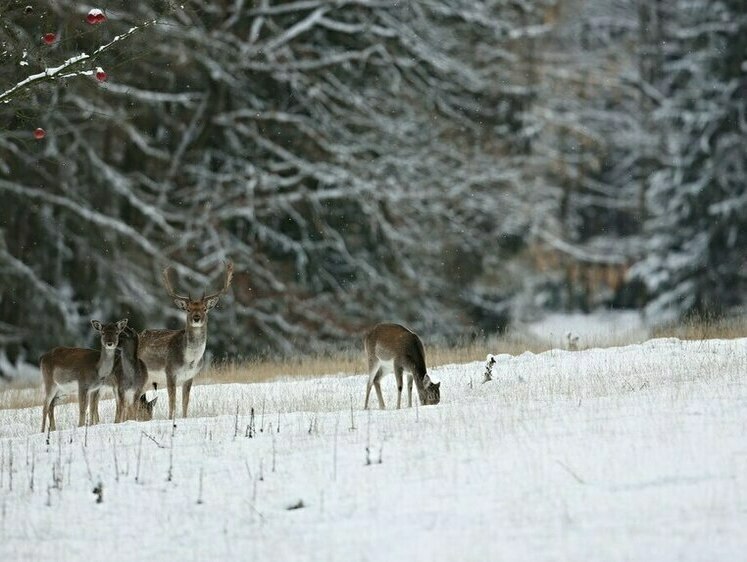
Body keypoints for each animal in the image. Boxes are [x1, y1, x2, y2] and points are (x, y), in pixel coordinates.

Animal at [138, 258, 234, 416]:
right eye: (188, 309)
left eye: (204, 308)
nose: (196, 318)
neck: (190, 360)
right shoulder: (170, 372)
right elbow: (172, 403)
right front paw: (171, 418)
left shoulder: (190, 376)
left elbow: (185, 403)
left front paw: (184, 418)